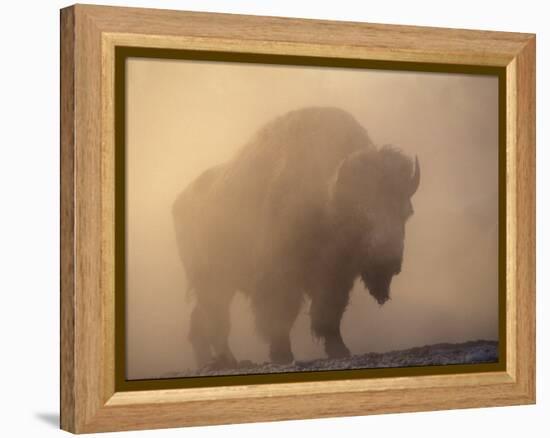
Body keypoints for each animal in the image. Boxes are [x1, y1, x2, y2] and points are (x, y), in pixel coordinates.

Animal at [175, 108, 420, 368]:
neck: (328, 198)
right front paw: (282, 355)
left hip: (220, 284)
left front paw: (340, 350)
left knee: (201, 321)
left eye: (406, 212)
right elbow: (280, 317)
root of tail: (179, 202)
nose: (388, 261)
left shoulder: (335, 278)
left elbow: (328, 313)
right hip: (211, 281)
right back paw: (229, 361)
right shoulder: (279, 277)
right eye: (361, 212)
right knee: (215, 320)